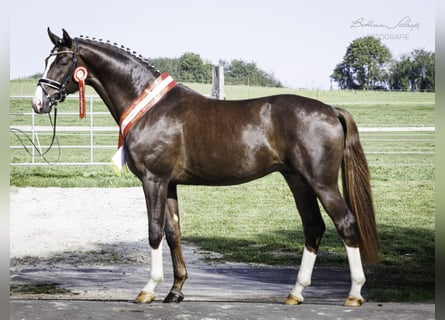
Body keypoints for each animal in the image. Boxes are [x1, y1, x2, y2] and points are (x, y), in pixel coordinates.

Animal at [32, 28, 378, 306]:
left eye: (62, 61)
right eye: (47, 59)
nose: (39, 102)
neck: (151, 106)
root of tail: (330, 109)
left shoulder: (153, 180)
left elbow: (154, 231)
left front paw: (148, 289)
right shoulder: (170, 184)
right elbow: (173, 232)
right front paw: (175, 291)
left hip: (321, 183)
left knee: (346, 223)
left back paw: (354, 293)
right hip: (298, 181)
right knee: (313, 227)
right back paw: (296, 293)